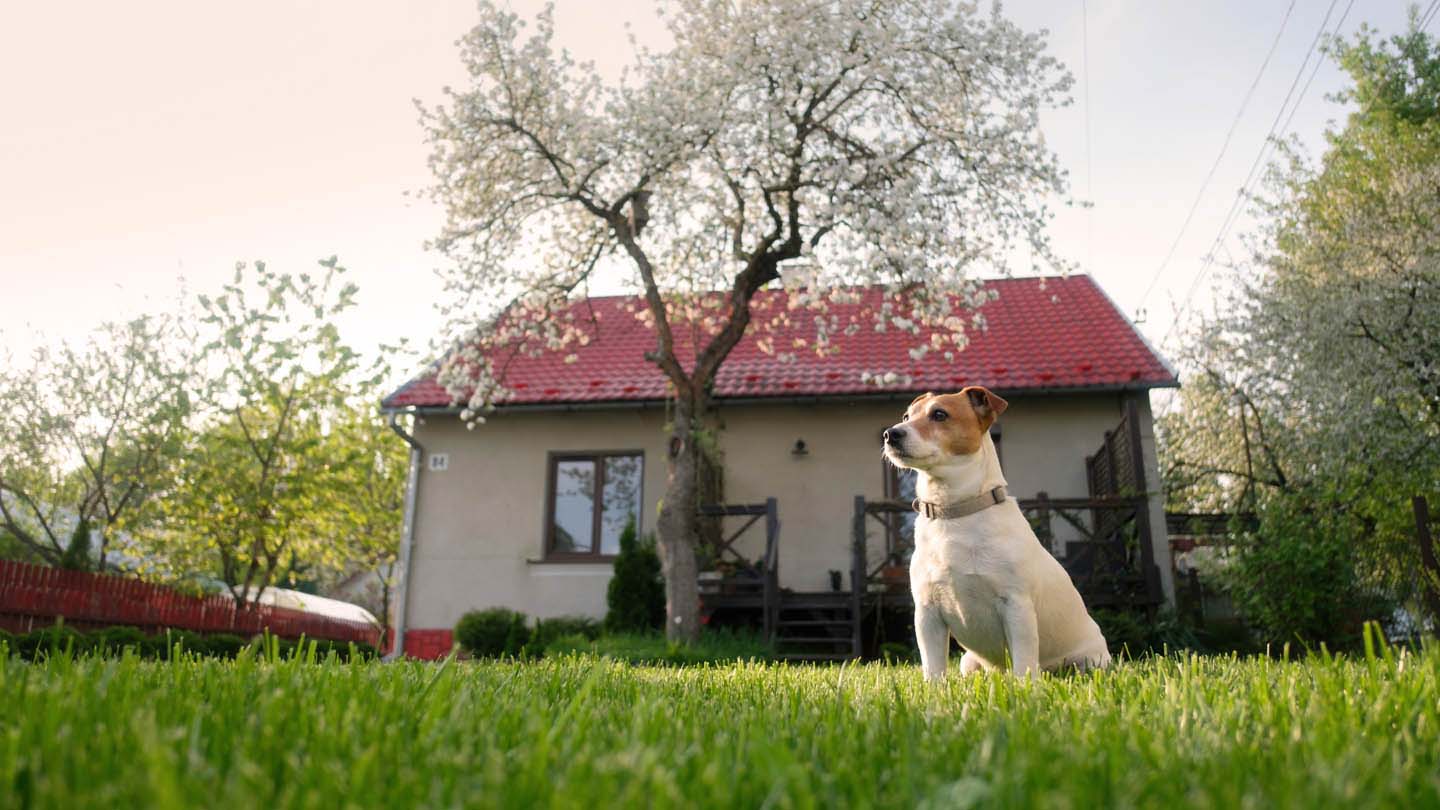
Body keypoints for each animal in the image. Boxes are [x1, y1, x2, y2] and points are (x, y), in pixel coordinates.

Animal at [875, 389, 1111, 677]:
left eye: (939, 414)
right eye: (906, 416)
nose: (890, 434)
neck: (955, 513)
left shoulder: (1016, 606)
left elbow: (1023, 663)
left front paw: (1024, 687)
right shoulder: (927, 614)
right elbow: (933, 669)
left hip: (1090, 662)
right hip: (968, 662)